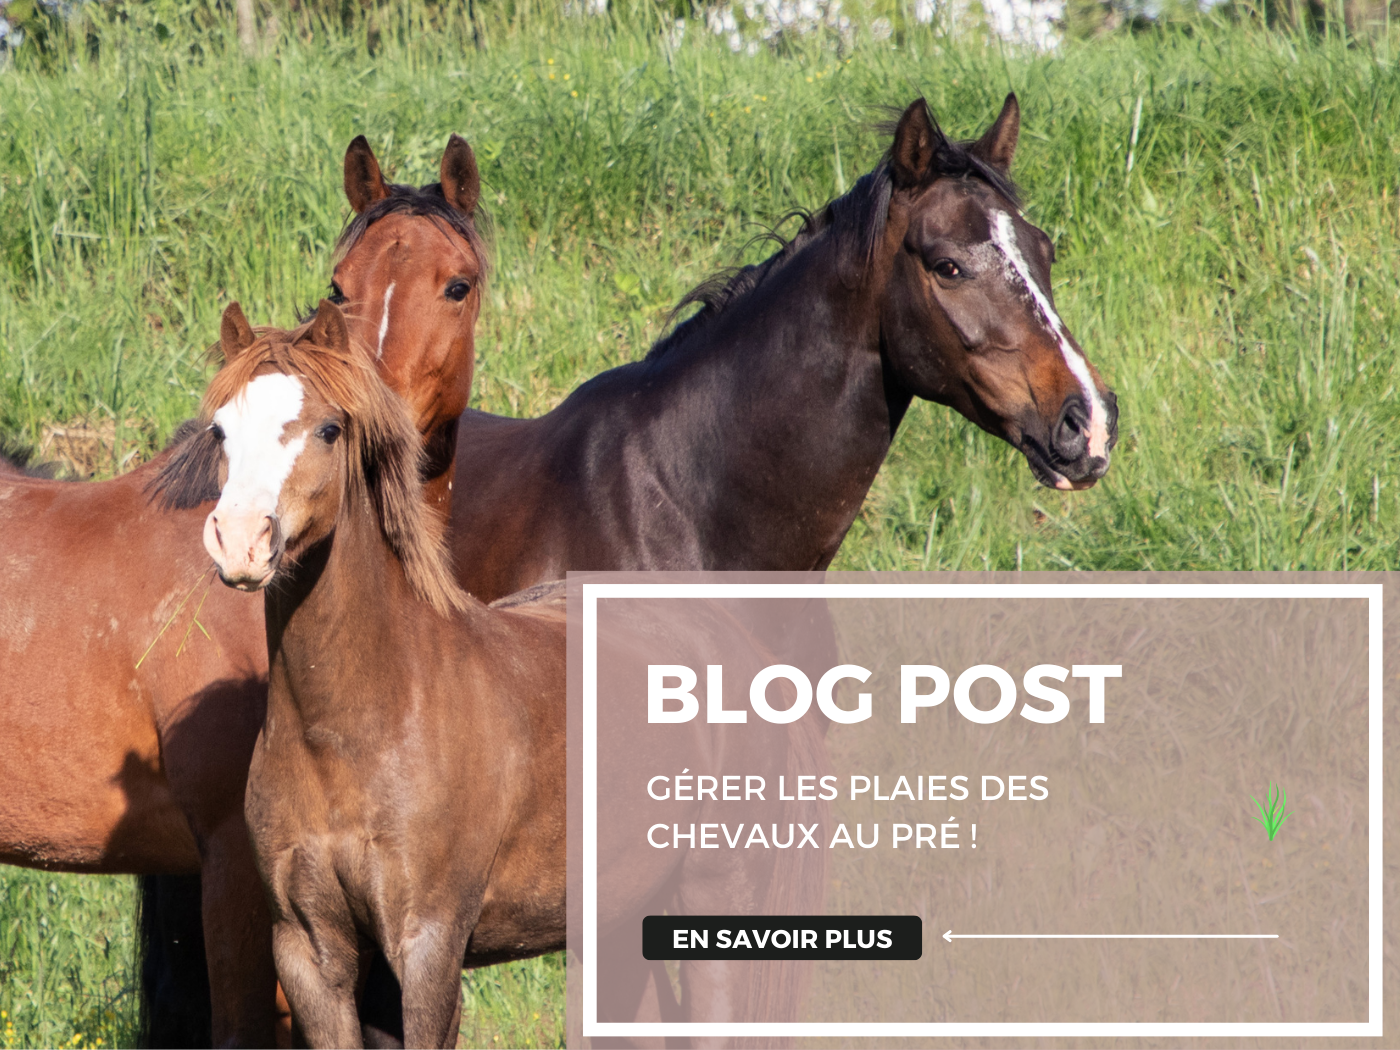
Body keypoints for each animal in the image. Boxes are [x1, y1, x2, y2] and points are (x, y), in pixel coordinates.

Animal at [154, 301, 825, 1047]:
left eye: (328, 429)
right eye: (221, 429)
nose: (241, 540)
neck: (355, 721)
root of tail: (740, 649)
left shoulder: (428, 946)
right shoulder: (311, 953)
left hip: (715, 900)